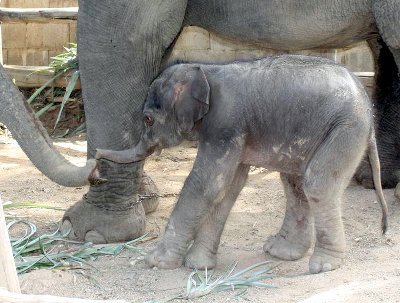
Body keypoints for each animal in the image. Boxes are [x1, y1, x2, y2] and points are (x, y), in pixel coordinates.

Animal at [57, 0, 398, 242]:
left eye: (149, 119)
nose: (94, 162)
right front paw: (146, 200)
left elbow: (119, 41)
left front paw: (90, 233)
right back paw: (374, 181)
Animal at [97, 55, 388, 276]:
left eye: (147, 119)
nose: (97, 155)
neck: (205, 70)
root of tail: (368, 108)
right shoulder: (233, 134)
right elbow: (227, 190)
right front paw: (198, 266)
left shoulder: (225, 125)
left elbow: (206, 185)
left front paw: (156, 261)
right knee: (295, 185)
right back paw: (280, 252)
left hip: (345, 128)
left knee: (316, 184)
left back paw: (323, 266)